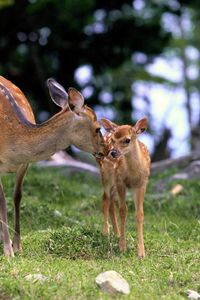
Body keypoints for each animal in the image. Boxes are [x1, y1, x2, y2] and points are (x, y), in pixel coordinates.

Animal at [0, 76, 105, 256]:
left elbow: (17, 197)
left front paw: (18, 246)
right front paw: (8, 251)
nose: (107, 150)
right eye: (98, 128)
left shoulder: (25, 164)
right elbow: (1, 201)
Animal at [97, 117, 150, 258]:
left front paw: (141, 253)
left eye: (127, 140)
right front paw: (122, 247)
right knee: (105, 198)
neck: (133, 172)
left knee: (111, 202)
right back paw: (106, 232)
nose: (113, 152)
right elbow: (123, 210)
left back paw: (116, 233)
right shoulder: (121, 181)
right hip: (106, 175)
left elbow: (140, 214)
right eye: (113, 140)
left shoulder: (142, 183)